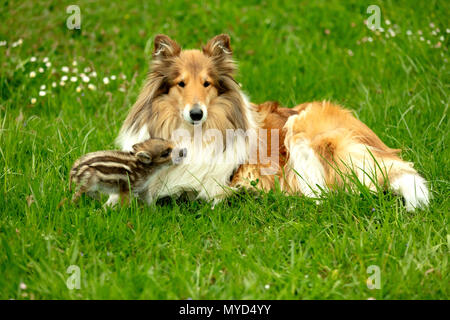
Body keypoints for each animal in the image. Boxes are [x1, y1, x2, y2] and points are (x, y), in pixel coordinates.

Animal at [113, 33, 428, 211]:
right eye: (181, 83)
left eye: (206, 83)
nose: (196, 114)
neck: (193, 133)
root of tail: (384, 152)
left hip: (306, 131)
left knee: (330, 193)